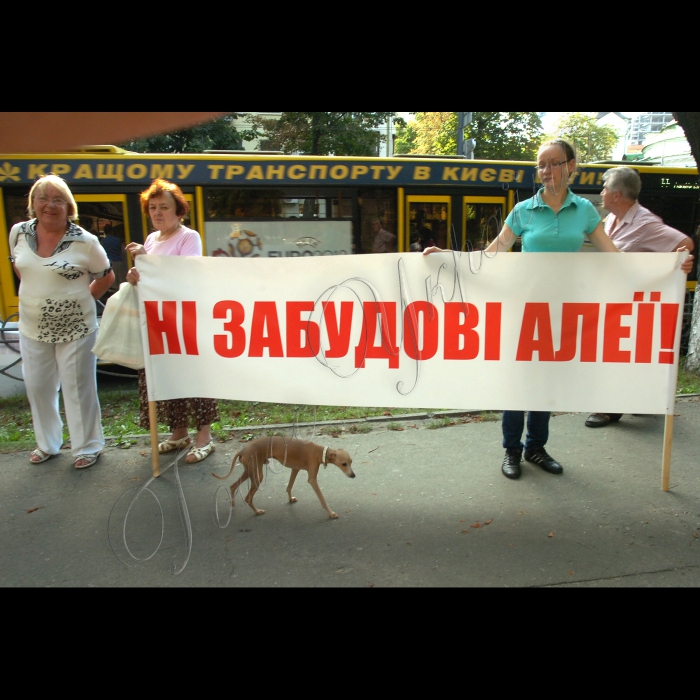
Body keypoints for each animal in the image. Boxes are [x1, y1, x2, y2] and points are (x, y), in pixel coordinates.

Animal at [213, 438, 356, 520]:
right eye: (344, 464)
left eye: (351, 462)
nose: (353, 475)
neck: (320, 452)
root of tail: (242, 450)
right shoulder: (312, 479)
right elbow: (322, 499)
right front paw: (331, 513)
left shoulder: (295, 469)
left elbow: (289, 486)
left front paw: (290, 499)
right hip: (257, 476)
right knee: (248, 498)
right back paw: (257, 511)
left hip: (249, 472)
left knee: (232, 485)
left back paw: (232, 503)